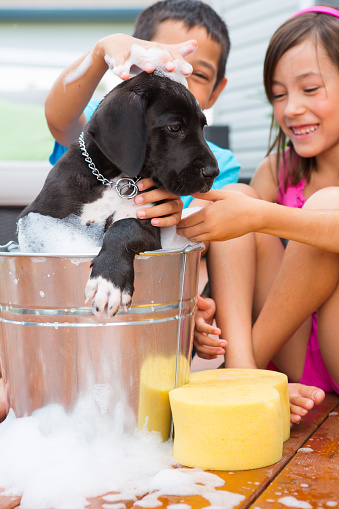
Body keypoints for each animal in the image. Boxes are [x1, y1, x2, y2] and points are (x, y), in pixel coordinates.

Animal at [18, 73, 219, 316]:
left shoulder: (150, 230)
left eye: (203, 127)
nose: (213, 172)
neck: (114, 180)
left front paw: (108, 281)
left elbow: (125, 227)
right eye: (174, 127)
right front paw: (108, 281)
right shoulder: (36, 216)